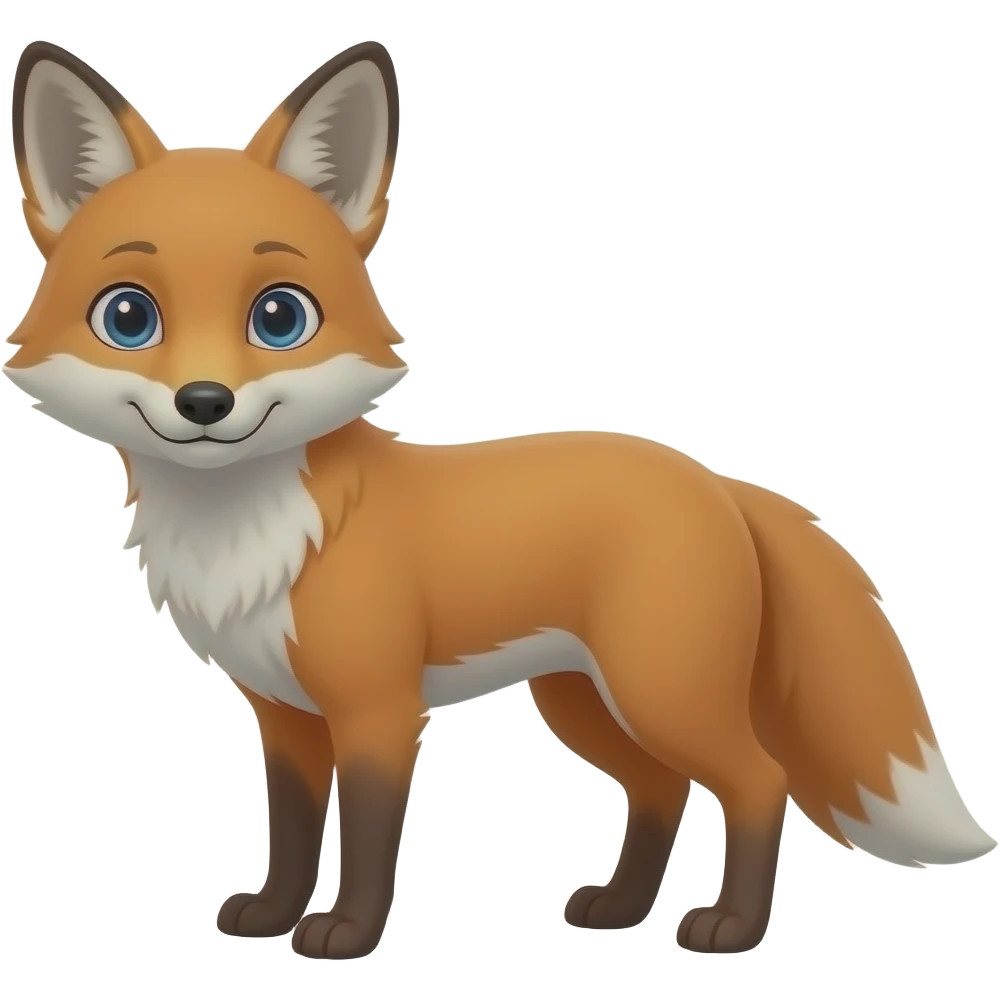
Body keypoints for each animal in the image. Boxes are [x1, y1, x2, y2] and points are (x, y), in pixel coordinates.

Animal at [4, 38, 996, 962]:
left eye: (280, 318)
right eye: (129, 318)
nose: (204, 403)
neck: (248, 532)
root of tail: (714, 479)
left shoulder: (378, 710)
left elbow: (368, 839)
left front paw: (348, 933)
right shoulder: (284, 716)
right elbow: (289, 832)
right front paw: (273, 915)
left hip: (661, 690)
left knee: (759, 781)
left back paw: (732, 928)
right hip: (586, 701)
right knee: (660, 788)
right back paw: (619, 908)